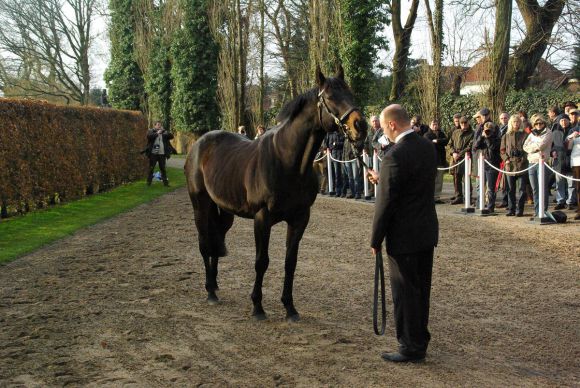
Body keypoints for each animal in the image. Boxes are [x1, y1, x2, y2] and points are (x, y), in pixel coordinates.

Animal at [186, 66, 368, 322]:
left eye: (350, 93)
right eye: (331, 97)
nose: (360, 126)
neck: (288, 161)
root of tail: (199, 144)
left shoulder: (300, 218)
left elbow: (290, 262)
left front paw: (290, 308)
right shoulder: (262, 218)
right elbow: (261, 262)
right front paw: (257, 307)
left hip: (225, 212)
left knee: (216, 239)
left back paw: (214, 284)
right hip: (200, 206)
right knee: (204, 243)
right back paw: (210, 292)